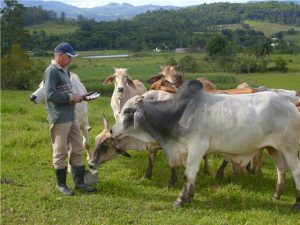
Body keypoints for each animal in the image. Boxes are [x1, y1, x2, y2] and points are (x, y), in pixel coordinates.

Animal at [112, 80, 300, 209]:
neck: (179, 114)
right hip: (274, 148)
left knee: (296, 171)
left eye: (127, 111)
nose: (113, 131)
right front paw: (190, 196)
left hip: (289, 149)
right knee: (281, 169)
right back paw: (276, 195)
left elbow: (188, 175)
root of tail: (289, 104)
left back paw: (296, 203)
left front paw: (181, 200)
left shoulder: (196, 148)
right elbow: (192, 175)